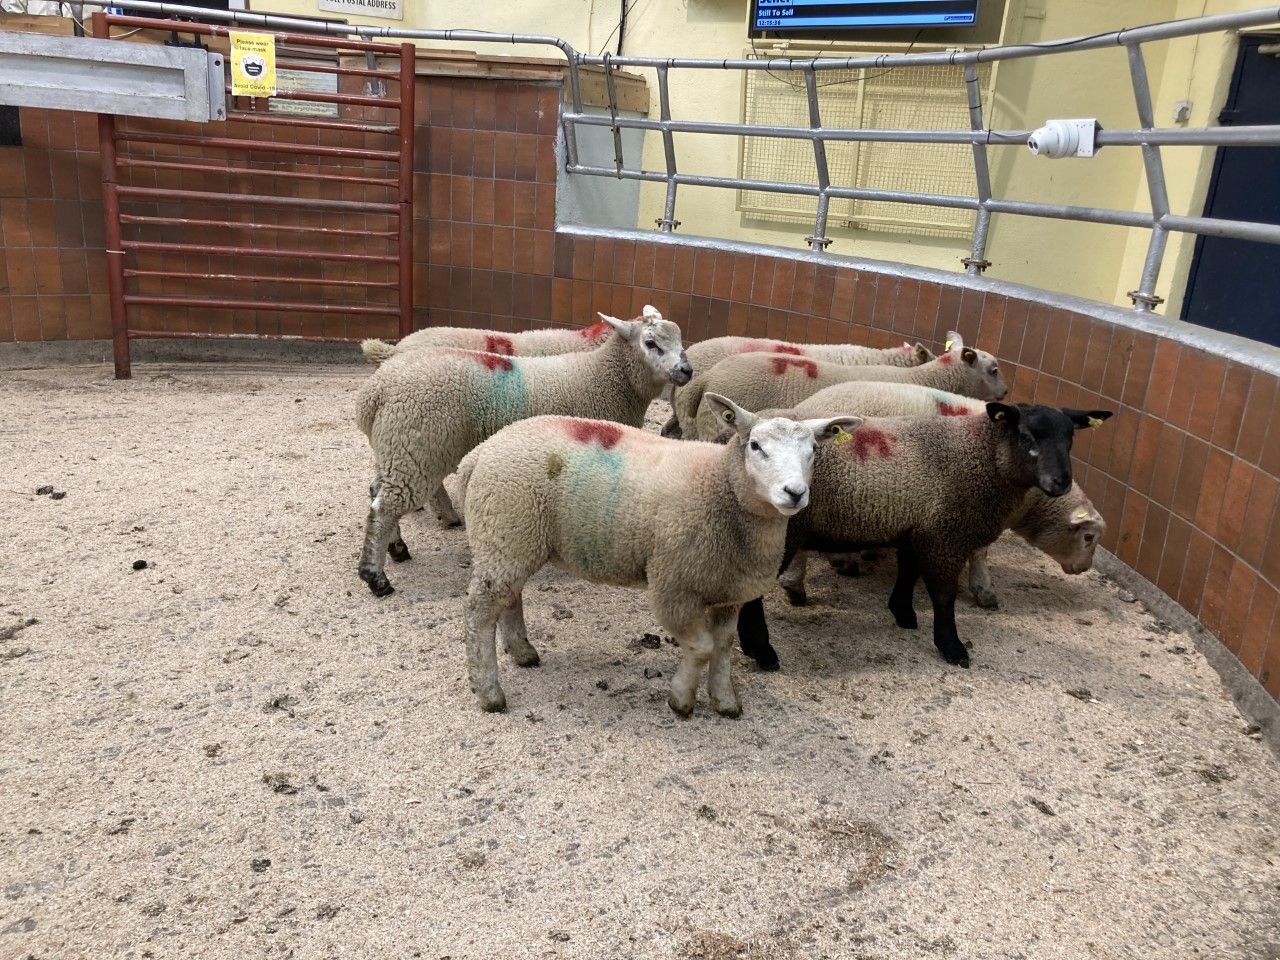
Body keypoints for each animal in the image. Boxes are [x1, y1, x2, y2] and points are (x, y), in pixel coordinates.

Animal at [355, 306, 694, 598]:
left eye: (679, 341)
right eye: (650, 343)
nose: (687, 370)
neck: (604, 376)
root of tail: (375, 392)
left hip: (397, 449)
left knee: (378, 493)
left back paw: (397, 548)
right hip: (417, 449)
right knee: (385, 506)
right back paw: (377, 577)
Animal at [454, 396, 861, 716]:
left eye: (813, 451)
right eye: (756, 446)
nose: (794, 493)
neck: (722, 487)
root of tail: (479, 453)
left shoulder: (730, 591)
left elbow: (724, 646)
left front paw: (725, 701)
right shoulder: (674, 585)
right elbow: (702, 646)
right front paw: (681, 701)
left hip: (513, 539)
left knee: (510, 597)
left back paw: (523, 652)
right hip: (506, 529)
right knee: (479, 612)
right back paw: (489, 692)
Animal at [734, 403, 1113, 670]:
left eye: (1070, 439)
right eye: (1026, 437)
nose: (1061, 482)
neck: (982, 455)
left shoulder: (918, 529)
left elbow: (909, 572)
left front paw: (903, 614)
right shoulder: (944, 534)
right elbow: (943, 595)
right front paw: (952, 647)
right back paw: (762, 652)